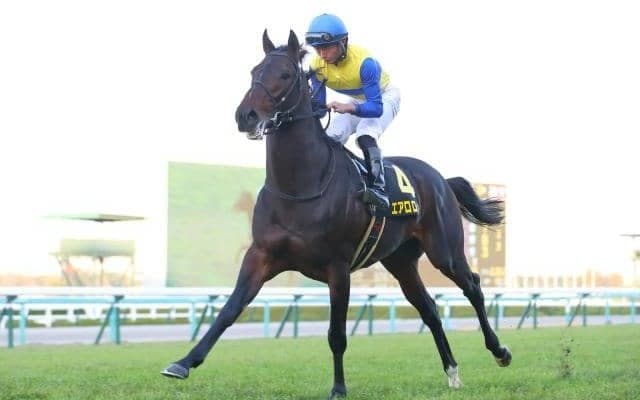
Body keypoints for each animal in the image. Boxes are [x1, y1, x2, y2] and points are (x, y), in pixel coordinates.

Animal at [161, 30, 512, 398]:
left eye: (285, 74)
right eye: (254, 71)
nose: (246, 115)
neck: (300, 185)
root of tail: (441, 179)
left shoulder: (338, 266)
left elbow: (337, 334)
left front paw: (339, 388)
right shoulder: (261, 255)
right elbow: (229, 310)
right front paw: (183, 363)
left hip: (445, 250)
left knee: (472, 286)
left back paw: (499, 351)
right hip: (400, 261)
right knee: (429, 309)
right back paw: (452, 371)